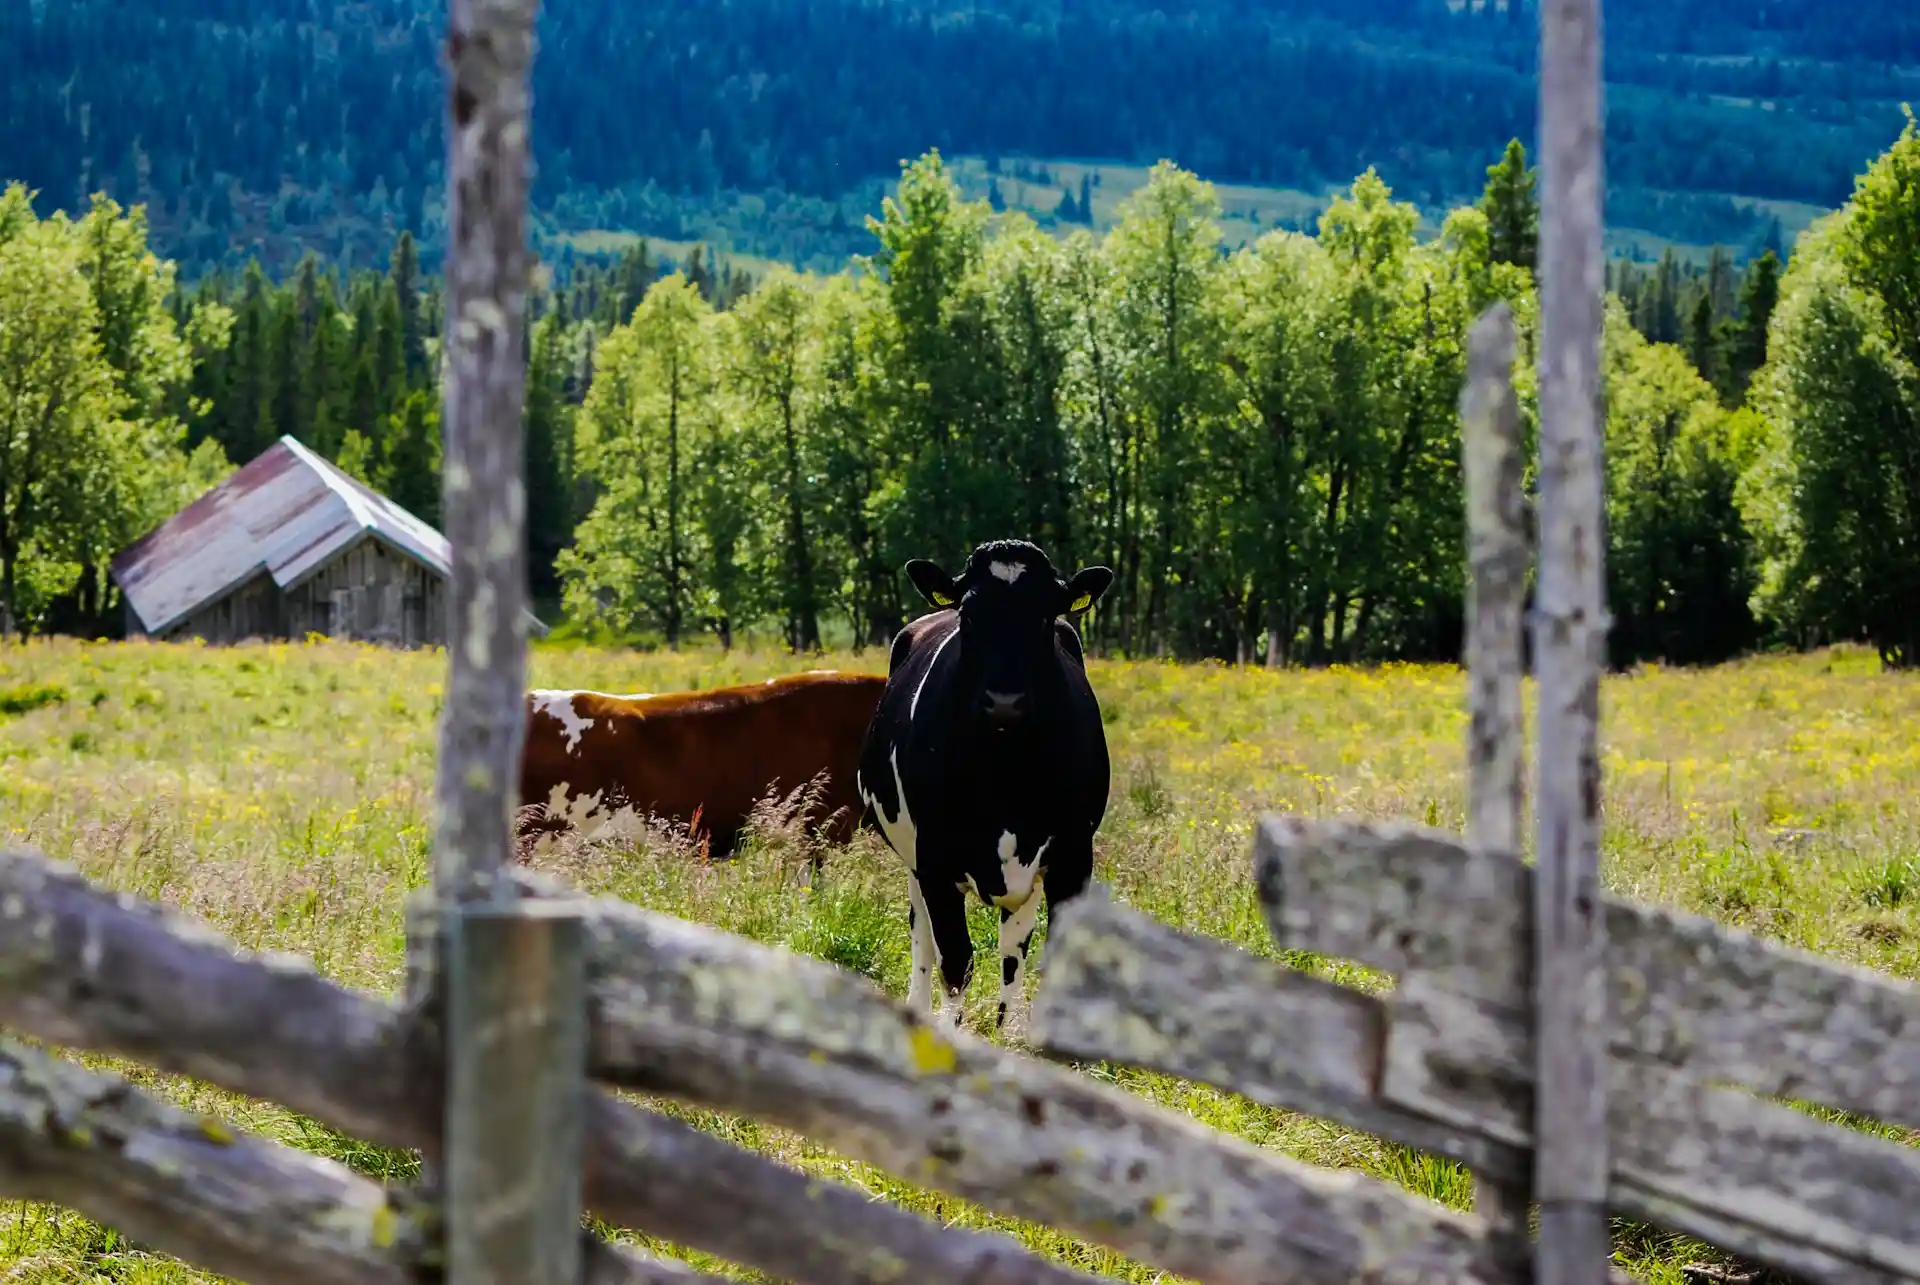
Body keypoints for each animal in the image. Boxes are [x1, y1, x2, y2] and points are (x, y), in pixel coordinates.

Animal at [856, 538, 1115, 1042]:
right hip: (914, 860)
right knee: (923, 939)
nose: (1005, 701)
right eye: (970, 615)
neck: (1005, 773)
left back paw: (1007, 1023)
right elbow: (956, 959)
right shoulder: (934, 859)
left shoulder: (1074, 855)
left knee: (1013, 946)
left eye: (1044, 616)